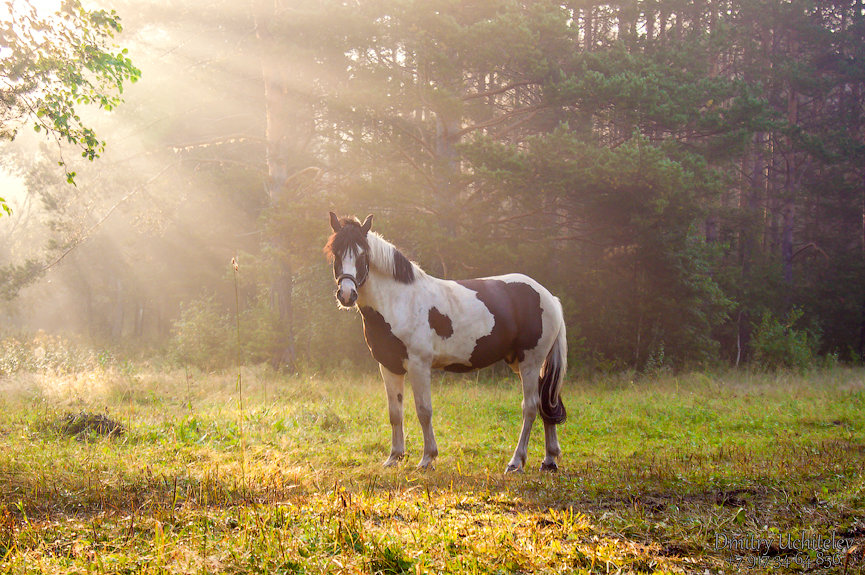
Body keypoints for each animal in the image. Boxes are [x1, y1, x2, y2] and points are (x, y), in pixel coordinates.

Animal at [324, 212, 568, 472]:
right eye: (336, 253)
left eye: (363, 254)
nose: (347, 295)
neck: (400, 300)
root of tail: (548, 296)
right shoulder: (389, 366)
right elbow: (395, 412)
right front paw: (394, 457)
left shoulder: (419, 365)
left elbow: (423, 411)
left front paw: (427, 459)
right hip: (527, 364)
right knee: (545, 403)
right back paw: (549, 460)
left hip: (530, 362)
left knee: (530, 407)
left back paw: (516, 462)